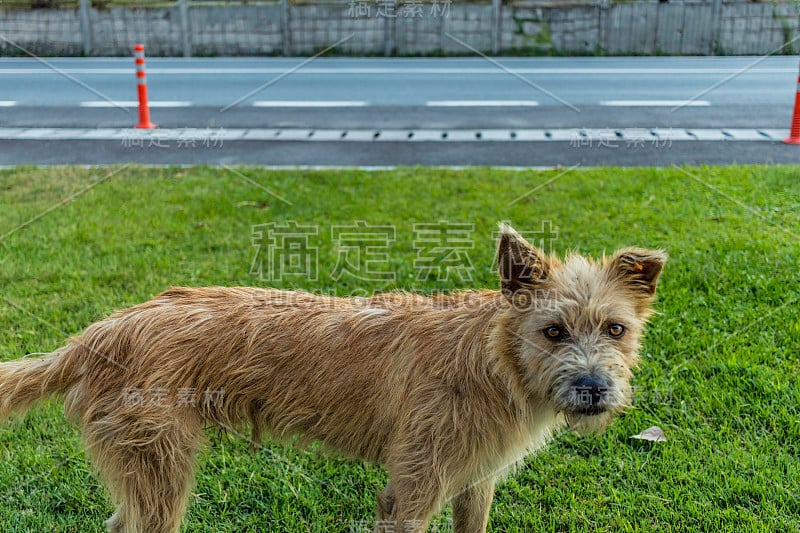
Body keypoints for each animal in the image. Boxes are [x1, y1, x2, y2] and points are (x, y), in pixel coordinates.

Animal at [0, 225, 664, 532]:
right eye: (553, 331)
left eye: (615, 329)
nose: (593, 389)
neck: (493, 361)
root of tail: (100, 332)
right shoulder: (412, 490)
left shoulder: (475, 482)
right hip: (162, 472)